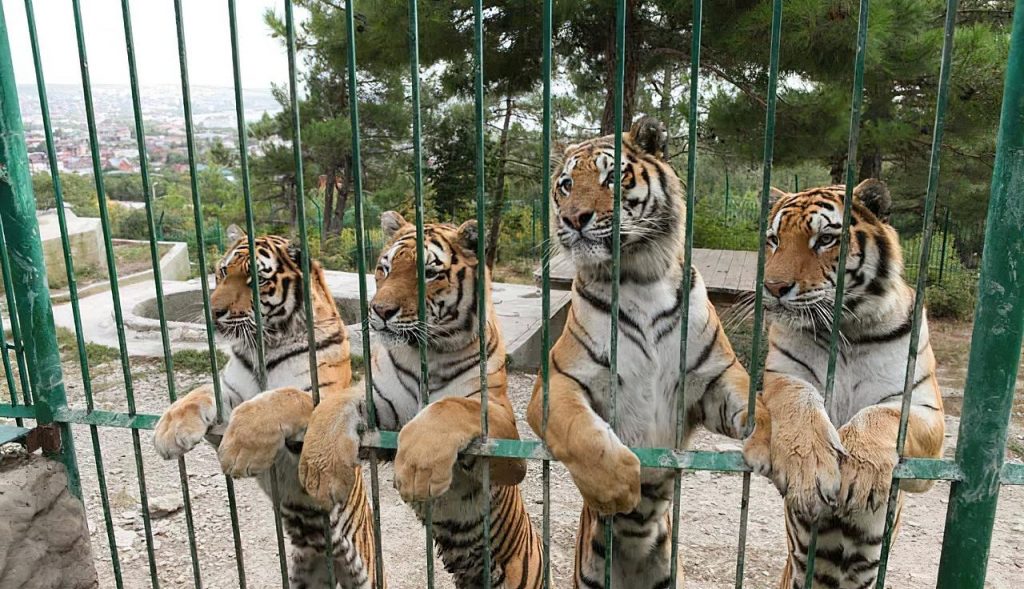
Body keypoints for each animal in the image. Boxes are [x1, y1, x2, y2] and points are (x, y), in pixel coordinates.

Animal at [155, 232, 385, 585]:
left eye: (256, 279)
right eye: (223, 272)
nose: (214, 311)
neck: (267, 344)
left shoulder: (318, 402)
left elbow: (282, 397)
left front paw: (239, 451)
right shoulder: (229, 392)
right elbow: (201, 391)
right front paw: (170, 430)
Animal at [299, 213, 544, 589]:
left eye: (429, 273)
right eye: (384, 268)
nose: (380, 310)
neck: (426, 354)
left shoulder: (507, 446)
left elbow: (453, 406)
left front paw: (418, 469)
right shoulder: (380, 410)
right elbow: (338, 402)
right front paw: (318, 468)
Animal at [528, 116, 774, 589]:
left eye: (611, 177)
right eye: (566, 184)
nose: (572, 218)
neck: (638, 275)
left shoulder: (712, 379)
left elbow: (757, 406)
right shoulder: (560, 381)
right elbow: (582, 432)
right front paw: (621, 485)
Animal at [741, 181, 946, 589]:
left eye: (825, 239)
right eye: (774, 240)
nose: (773, 287)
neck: (849, 329)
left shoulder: (927, 415)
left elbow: (882, 414)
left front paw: (860, 471)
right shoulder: (783, 377)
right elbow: (798, 400)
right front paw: (809, 466)